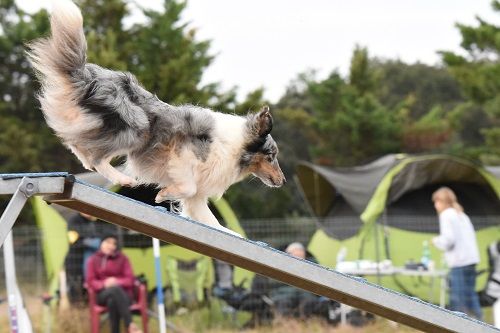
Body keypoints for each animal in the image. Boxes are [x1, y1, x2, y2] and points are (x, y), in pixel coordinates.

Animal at [28, 0, 286, 235]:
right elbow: (188, 188)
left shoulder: (200, 192)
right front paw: (163, 194)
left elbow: (209, 219)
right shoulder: (182, 156)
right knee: (95, 157)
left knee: (79, 147)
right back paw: (124, 180)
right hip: (136, 128)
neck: (235, 147)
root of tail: (88, 75)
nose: (282, 181)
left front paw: (232, 235)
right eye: (271, 157)